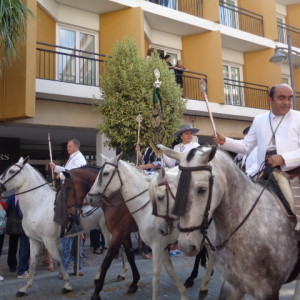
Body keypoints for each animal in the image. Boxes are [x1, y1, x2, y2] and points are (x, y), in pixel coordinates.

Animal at [59, 165, 141, 300]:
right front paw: (134, 283)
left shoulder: (118, 233)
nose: (70, 216)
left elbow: (106, 261)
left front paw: (96, 292)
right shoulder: (124, 234)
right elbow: (130, 256)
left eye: (69, 187)